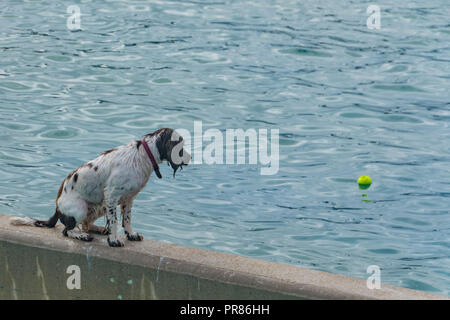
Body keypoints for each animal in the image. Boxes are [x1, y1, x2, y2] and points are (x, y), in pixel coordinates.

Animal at [10, 127, 190, 248]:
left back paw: (97, 229)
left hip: (99, 206)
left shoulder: (129, 197)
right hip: (81, 207)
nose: (190, 157)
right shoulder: (111, 196)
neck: (142, 156)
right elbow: (115, 221)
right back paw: (83, 236)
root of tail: (57, 208)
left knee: (86, 224)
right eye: (180, 146)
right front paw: (114, 240)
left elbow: (127, 219)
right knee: (68, 230)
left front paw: (131, 234)